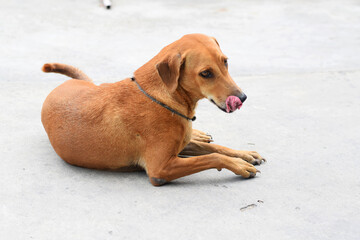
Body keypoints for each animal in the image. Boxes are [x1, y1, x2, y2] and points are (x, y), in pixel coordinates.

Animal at [41, 33, 264, 186]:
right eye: (206, 73)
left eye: (225, 62)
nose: (242, 98)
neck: (164, 97)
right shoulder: (161, 169)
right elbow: (212, 156)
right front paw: (238, 164)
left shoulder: (178, 149)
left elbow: (217, 148)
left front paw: (244, 154)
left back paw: (198, 133)